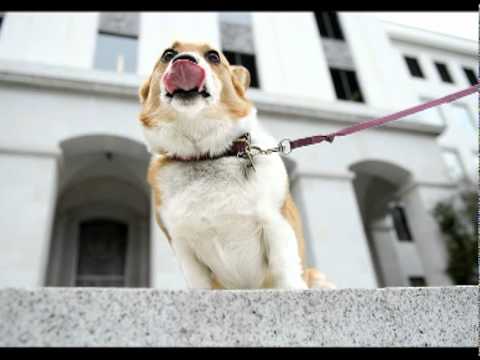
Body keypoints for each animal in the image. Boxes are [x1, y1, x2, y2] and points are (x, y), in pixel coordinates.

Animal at [138, 41, 334, 290]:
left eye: (213, 56)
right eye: (168, 54)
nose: (183, 60)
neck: (206, 155)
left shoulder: (277, 225)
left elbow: (285, 272)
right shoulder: (182, 245)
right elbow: (199, 283)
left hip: (316, 275)